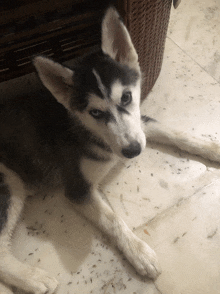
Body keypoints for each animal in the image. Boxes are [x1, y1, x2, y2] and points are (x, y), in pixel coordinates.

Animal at [0, 6, 220, 294]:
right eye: (95, 112)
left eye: (126, 97)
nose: (132, 151)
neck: (89, 130)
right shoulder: (78, 189)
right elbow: (112, 220)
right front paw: (139, 253)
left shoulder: (138, 126)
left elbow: (174, 133)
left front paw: (212, 147)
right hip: (9, 181)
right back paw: (34, 278)